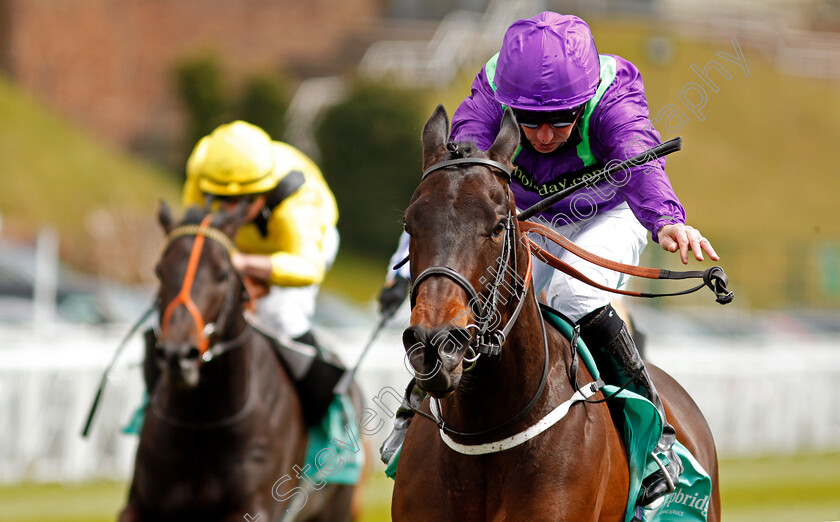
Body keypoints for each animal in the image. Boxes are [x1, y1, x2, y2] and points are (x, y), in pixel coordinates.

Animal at [119, 203, 358, 520]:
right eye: (159, 271)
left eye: (223, 274)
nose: (177, 355)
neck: (203, 423)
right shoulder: (140, 504)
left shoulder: (255, 507)